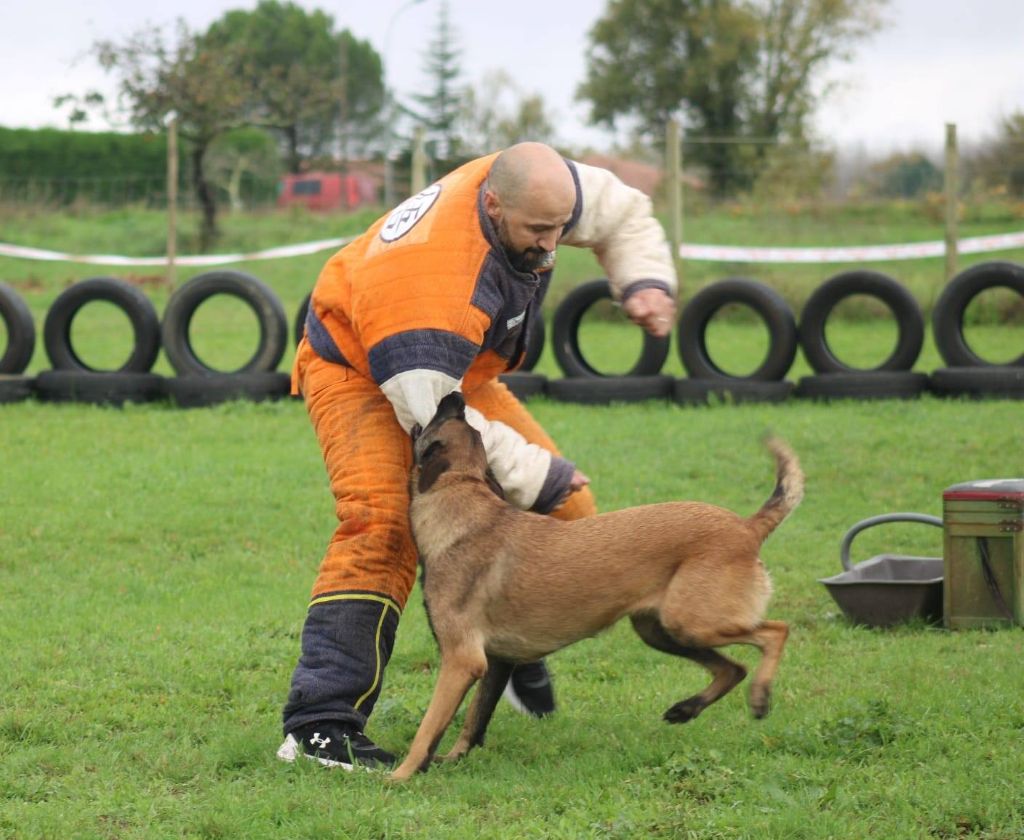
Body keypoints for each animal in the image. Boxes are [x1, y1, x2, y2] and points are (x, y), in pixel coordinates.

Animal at [389, 391, 798, 782]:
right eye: (463, 423)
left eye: (444, 418)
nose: (455, 397)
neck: (462, 497)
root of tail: (747, 527)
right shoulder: (496, 662)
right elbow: (473, 721)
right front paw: (449, 760)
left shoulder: (462, 661)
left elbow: (429, 728)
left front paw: (400, 775)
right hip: (660, 630)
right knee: (732, 669)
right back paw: (687, 709)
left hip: (691, 621)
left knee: (775, 632)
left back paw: (760, 696)